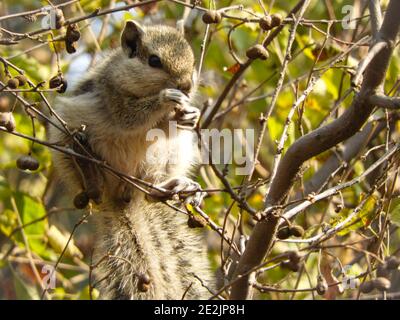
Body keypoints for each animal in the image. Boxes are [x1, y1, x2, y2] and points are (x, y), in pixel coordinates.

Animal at [48, 21, 214, 298]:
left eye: (192, 61)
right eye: (154, 61)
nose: (186, 86)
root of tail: (121, 196)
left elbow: (166, 127)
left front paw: (190, 114)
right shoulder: (111, 93)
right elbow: (129, 116)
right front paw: (165, 98)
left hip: (171, 155)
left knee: (151, 191)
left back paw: (174, 186)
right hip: (67, 133)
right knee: (92, 183)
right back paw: (89, 170)